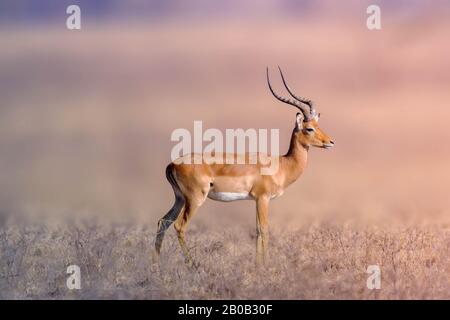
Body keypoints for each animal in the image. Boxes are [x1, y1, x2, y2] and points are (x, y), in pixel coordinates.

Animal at [155, 68, 334, 268]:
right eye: (309, 128)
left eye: (318, 125)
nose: (330, 142)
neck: (282, 164)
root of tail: (171, 164)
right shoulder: (263, 199)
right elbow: (264, 230)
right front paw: (266, 266)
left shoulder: (256, 200)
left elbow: (256, 231)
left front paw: (257, 266)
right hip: (194, 199)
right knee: (179, 226)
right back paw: (193, 265)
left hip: (179, 198)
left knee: (163, 222)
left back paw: (155, 266)